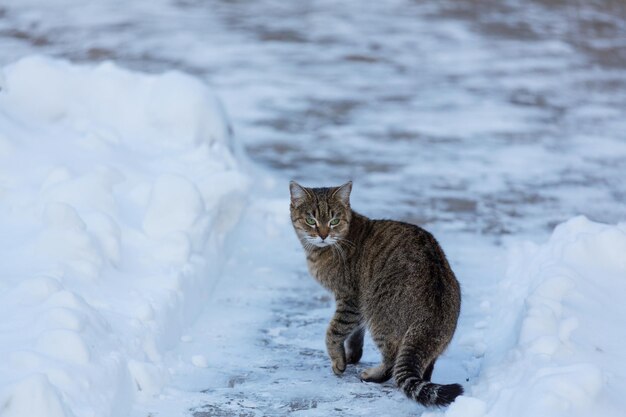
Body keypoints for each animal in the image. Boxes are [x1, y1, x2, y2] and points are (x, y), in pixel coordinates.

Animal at [290, 180, 460, 406]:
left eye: (334, 221)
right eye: (311, 220)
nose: (323, 235)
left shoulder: (350, 299)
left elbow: (334, 331)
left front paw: (338, 361)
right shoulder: (357, 307)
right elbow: (354, 333)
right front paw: (351, 355)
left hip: (378, 315)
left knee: (393, 362)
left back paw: (371, 374)